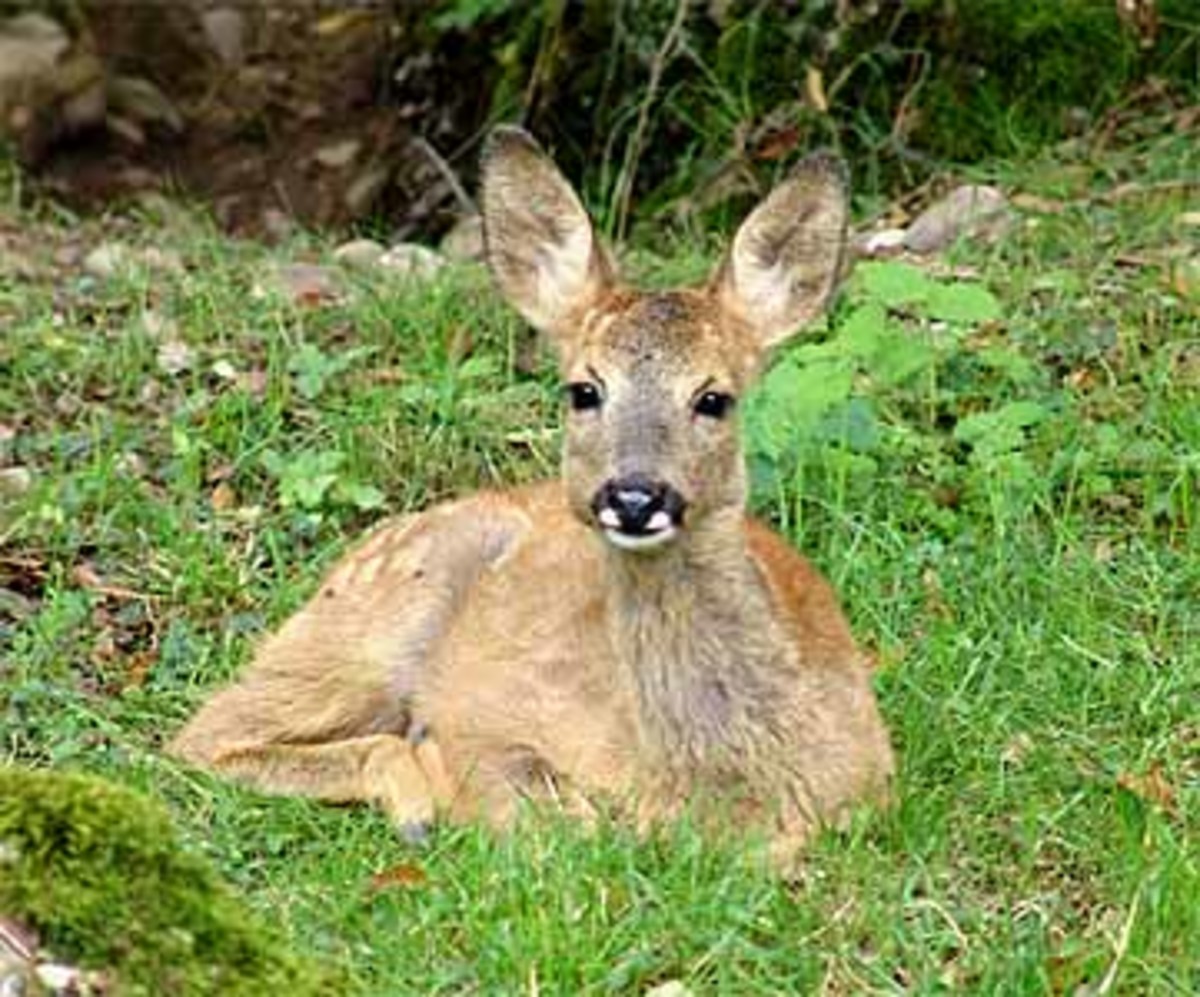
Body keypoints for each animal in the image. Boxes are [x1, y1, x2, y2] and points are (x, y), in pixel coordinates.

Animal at [174, 128, 897, 868]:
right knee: (205, 733)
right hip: (375, 618)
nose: (634, 496)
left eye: (714, 397)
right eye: (584, 390)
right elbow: (561, 820)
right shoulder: (495, 716)